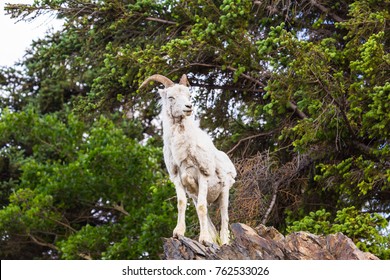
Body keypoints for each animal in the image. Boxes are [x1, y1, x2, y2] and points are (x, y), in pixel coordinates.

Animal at [141, 73, 236, 244]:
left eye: (189, 95)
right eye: (171, 97)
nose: (188, 107)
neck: (183, 151)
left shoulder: (203, 174)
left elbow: (202, 208)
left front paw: (204, 240)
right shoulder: (178, 178)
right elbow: (182, 203)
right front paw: (178, 233)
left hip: (224, 193)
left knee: (224, 218)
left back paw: (224, 242)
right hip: (196, 196)